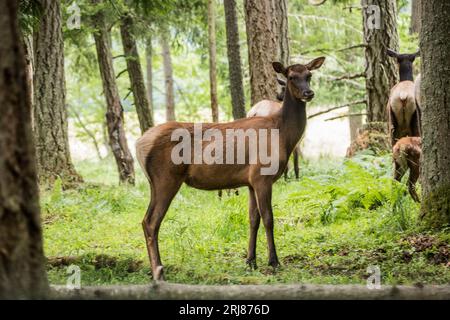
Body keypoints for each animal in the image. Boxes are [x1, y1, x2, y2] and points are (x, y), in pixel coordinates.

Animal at [135, 57, 326, 280]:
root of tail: (139, 144)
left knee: (145, 220)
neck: (282, 135)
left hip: (155, 183)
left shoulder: (251, 181)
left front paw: (250, 261)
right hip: (166, 178)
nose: (308, 93)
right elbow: (269, 218)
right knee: (152, 222)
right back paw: (159, 271)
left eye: (309, 75)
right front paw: (274, 262)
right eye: (291, 77)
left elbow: (253, 219)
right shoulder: (262, 175)